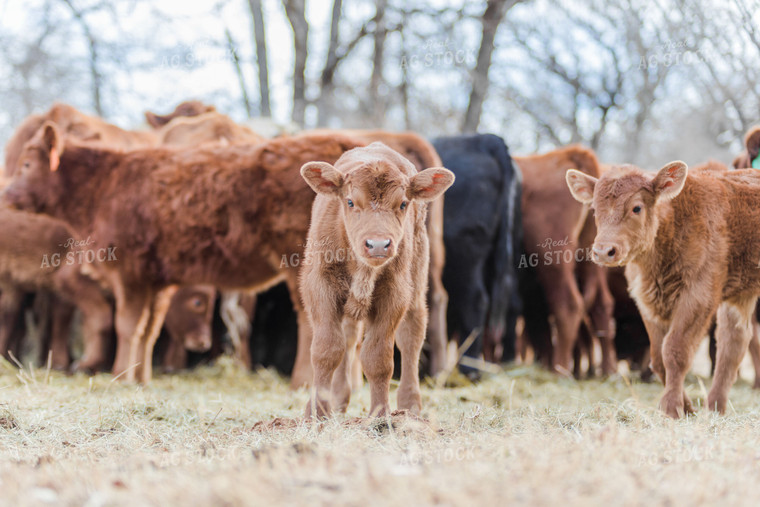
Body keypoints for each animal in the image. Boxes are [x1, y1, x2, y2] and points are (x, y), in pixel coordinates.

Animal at [2, 124, 366, 384]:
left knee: (312, 320)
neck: (107, 186)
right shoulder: (157, 282)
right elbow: (149, 330)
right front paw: (140, 378)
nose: (5, 194)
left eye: (27, 164)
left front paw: (120, 376)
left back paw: (303, 382)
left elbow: (127, 326)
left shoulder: (130, 272)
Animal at [296, 142, 452, 416]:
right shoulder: (320, 287)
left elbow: (378, 359)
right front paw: (317, 411)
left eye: (402, 204)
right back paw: (338, 401)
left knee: (411, 335)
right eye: (350, 201)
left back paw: (410, 405)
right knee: (348, 337)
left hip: (416, 282)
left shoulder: (394, 294)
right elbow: (327, 350)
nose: (378, 244)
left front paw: (380, 415)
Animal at [568, 162, 760, 416]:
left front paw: (672, 407)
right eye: (593, 210)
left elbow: (675, 351)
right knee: (734, 342)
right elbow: (658, 358)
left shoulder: (698, 297)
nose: (603, 251)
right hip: (740, 293)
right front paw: (686, 407)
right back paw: (714, 408)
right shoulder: (647, 302)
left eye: (636, 208)